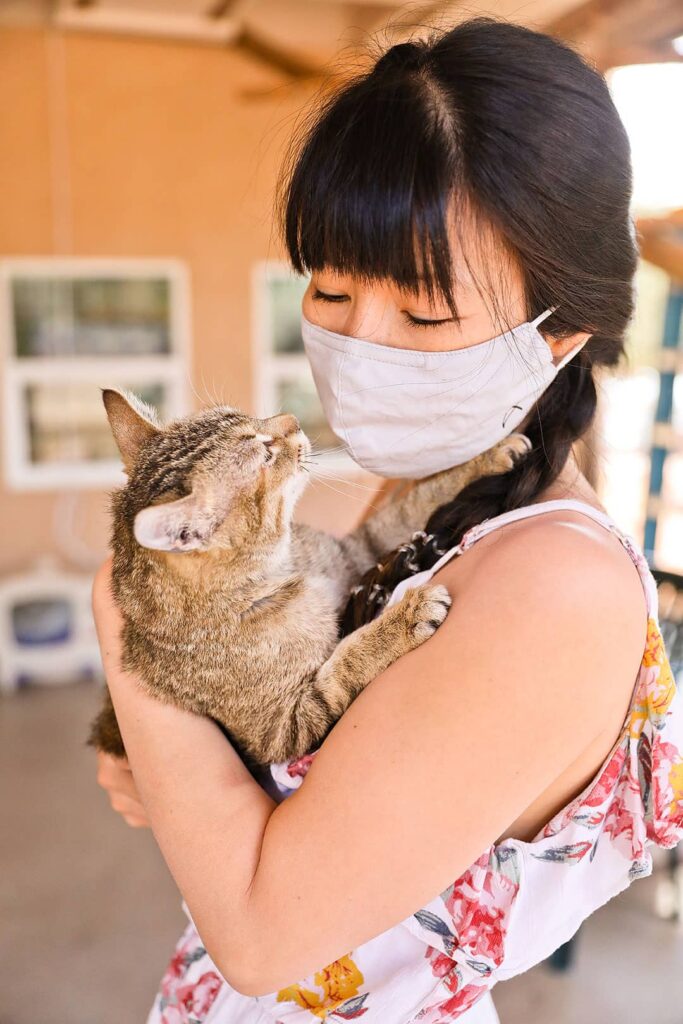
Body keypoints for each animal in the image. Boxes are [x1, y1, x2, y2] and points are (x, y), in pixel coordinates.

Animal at [89, 389, 528, 770]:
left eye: (244, 414)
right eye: (266, 452)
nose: (293, 419)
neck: (289, 568)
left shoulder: (357, 551)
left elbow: (409, 507)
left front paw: (486, 459)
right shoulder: (284, 730)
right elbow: (345, 664)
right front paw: (403, 619)